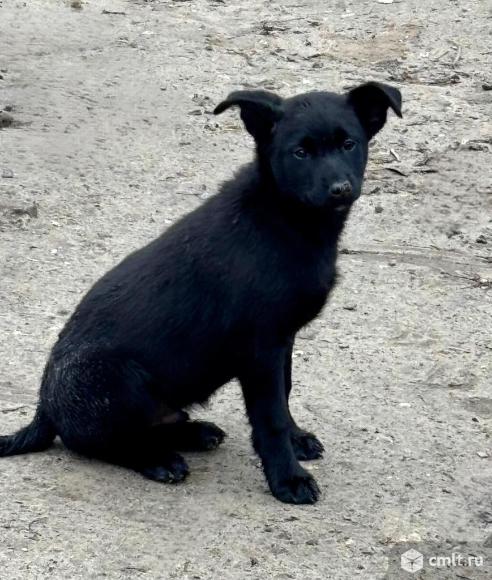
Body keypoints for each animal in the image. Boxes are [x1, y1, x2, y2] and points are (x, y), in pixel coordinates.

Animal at [0, 82, 401, 504]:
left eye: (349, 144)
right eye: (300, 153)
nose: (340, 189)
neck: (282, 219)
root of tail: (44, 408)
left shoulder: (283, 340)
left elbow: (286, 392)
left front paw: (297, 440)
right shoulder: (261, 350)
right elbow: (271, 417)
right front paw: (288, 477)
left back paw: (194, 432)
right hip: (116, 379)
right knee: (105, 443)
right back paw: (158, 459)